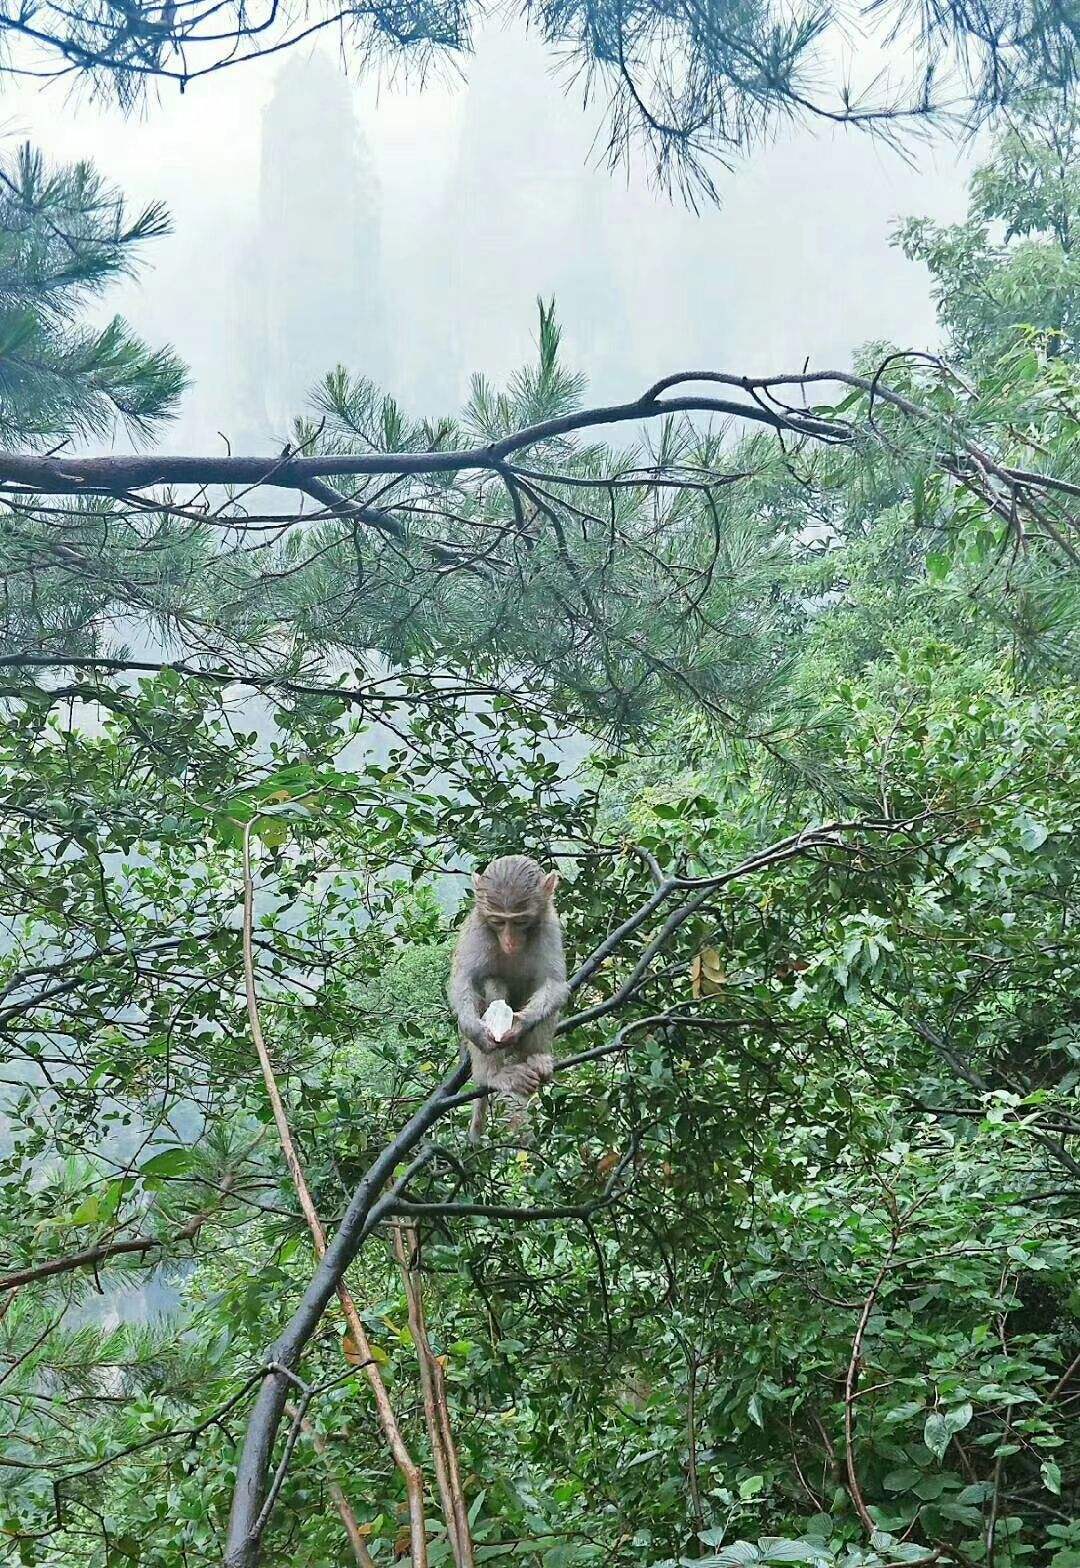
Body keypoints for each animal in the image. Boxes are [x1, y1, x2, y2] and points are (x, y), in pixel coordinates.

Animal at [445, 852, 567, 1147]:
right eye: (499, 921)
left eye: (520, 921)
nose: (510, 942)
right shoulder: (478, 928)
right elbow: (465, 980)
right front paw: (474, 1028)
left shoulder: (550, 925)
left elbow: (554, 984)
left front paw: (520, 1023)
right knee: (491, 982)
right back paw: (494, 1074)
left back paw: (536, 1058)